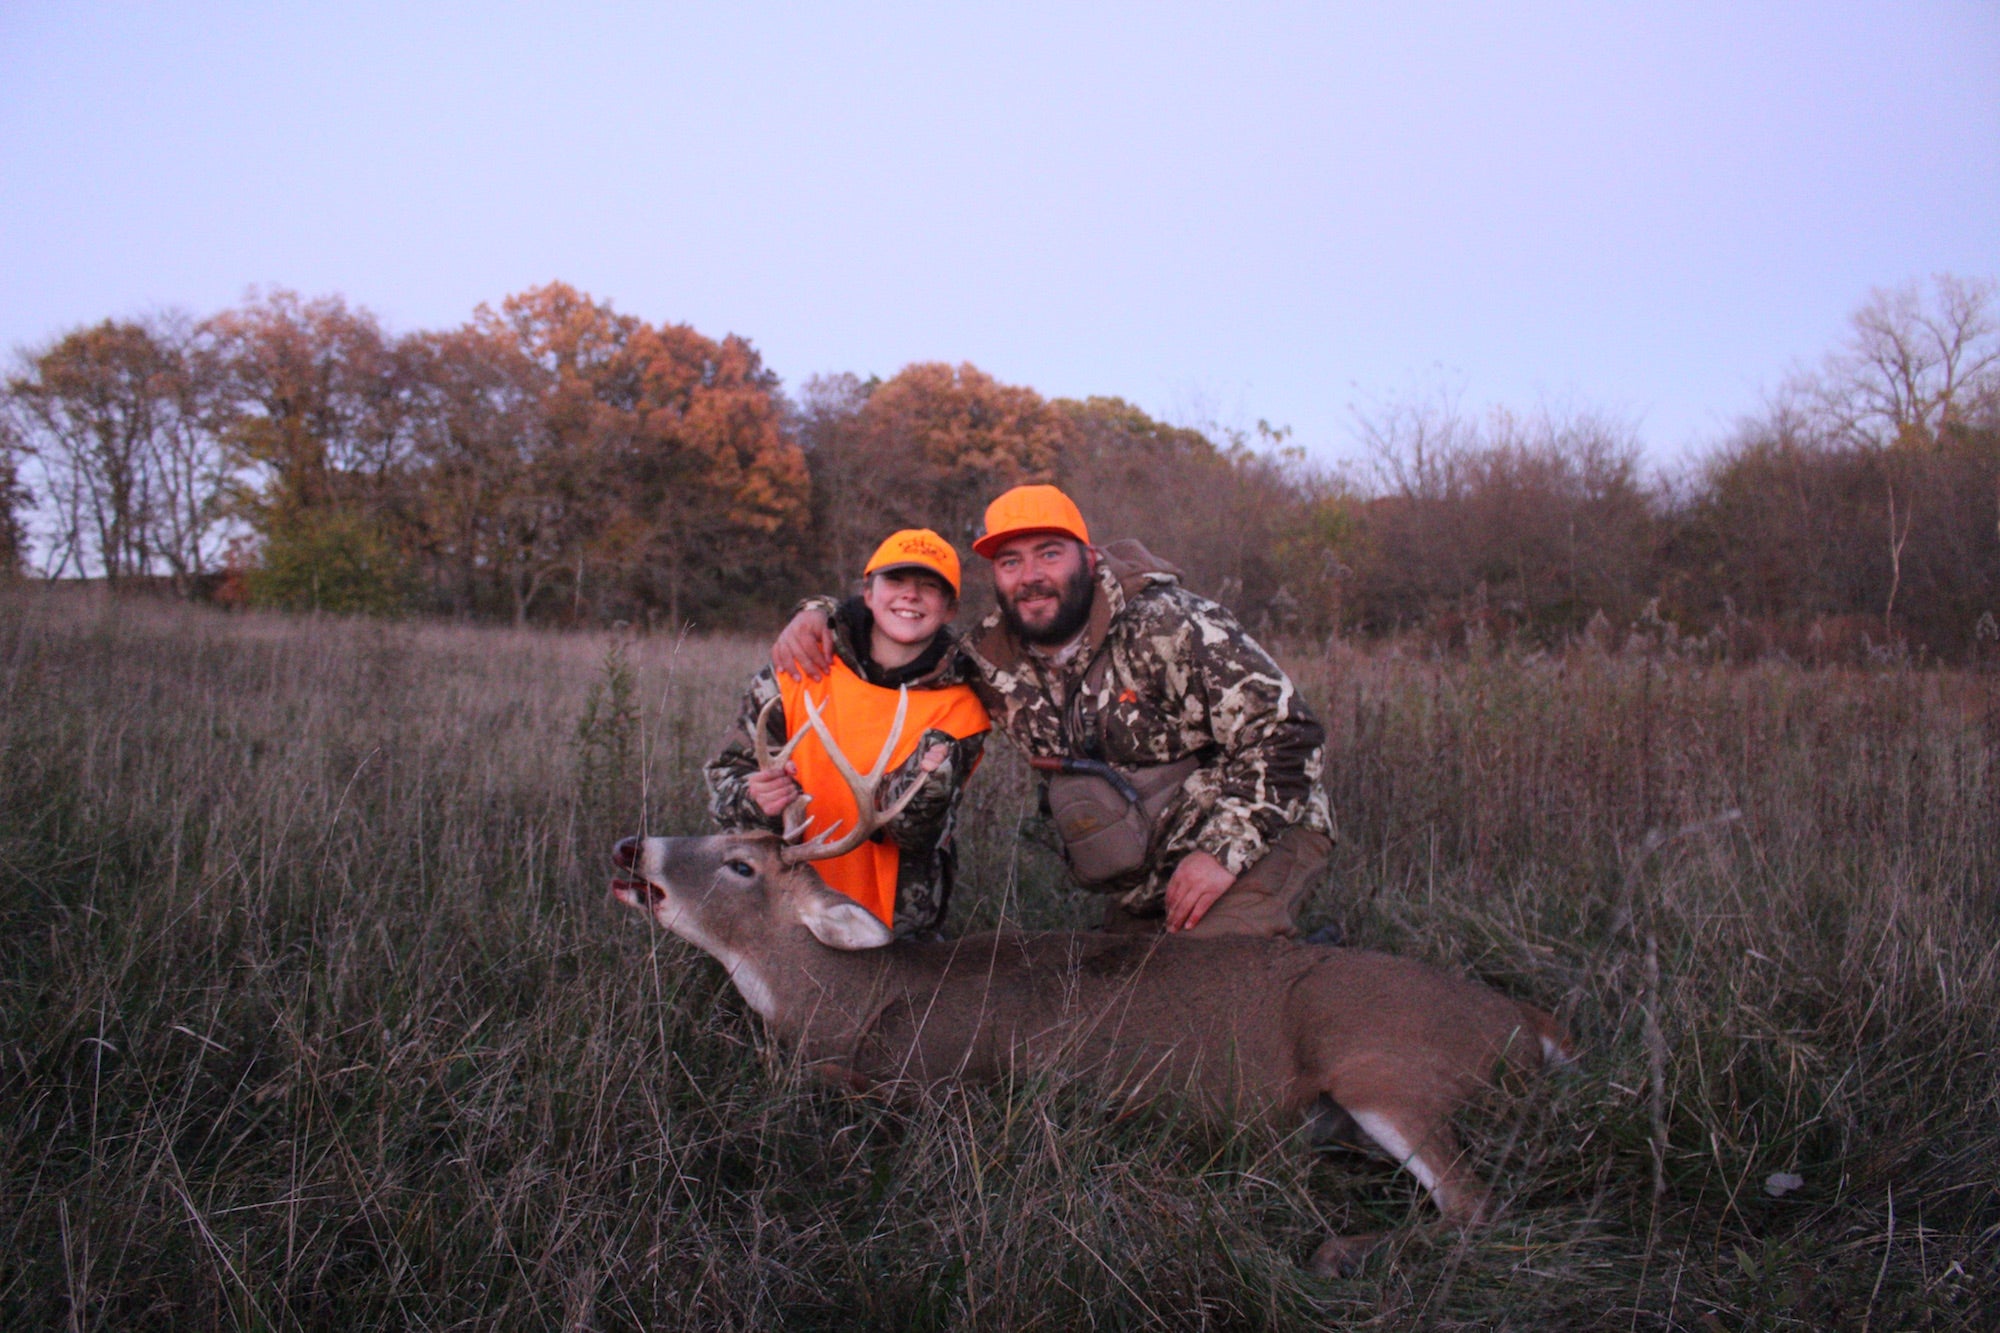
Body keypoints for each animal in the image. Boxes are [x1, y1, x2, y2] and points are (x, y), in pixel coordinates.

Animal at [609, 687, 1573, 1275]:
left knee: (1478, 1204)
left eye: (740, 865)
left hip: (1381, 1062)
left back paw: (1337, 1250)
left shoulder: (941, 1085)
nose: (630, 847)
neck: (848, 999)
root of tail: (1531, 1020)